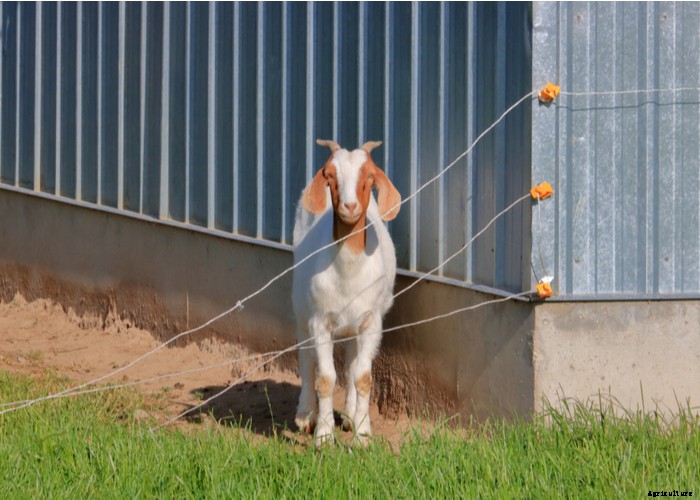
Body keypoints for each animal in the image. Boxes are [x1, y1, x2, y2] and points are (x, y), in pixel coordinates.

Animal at [292, 139, 401, 446]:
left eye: (370, 176)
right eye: (329, 175)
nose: (349, 206)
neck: (348, 272)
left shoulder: (371, 321)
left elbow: (362, 376)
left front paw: (362, 432)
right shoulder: (319, 321)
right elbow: (326, 378)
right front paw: (323, 435)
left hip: (355, 323)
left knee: (352, 361)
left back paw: (352, 413)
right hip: (300, 307)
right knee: (306, 356)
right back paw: (305, 414)